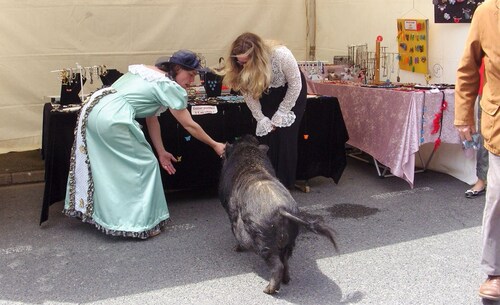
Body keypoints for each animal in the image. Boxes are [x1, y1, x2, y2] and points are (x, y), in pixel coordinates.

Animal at [218, 134, 338, 294]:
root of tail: (282, 209)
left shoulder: (232, 216)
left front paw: (236, 249)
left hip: (264, 243)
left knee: (277, 265)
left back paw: (268, 290)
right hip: (290, 241)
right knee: (286, 261)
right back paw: (286, 281)